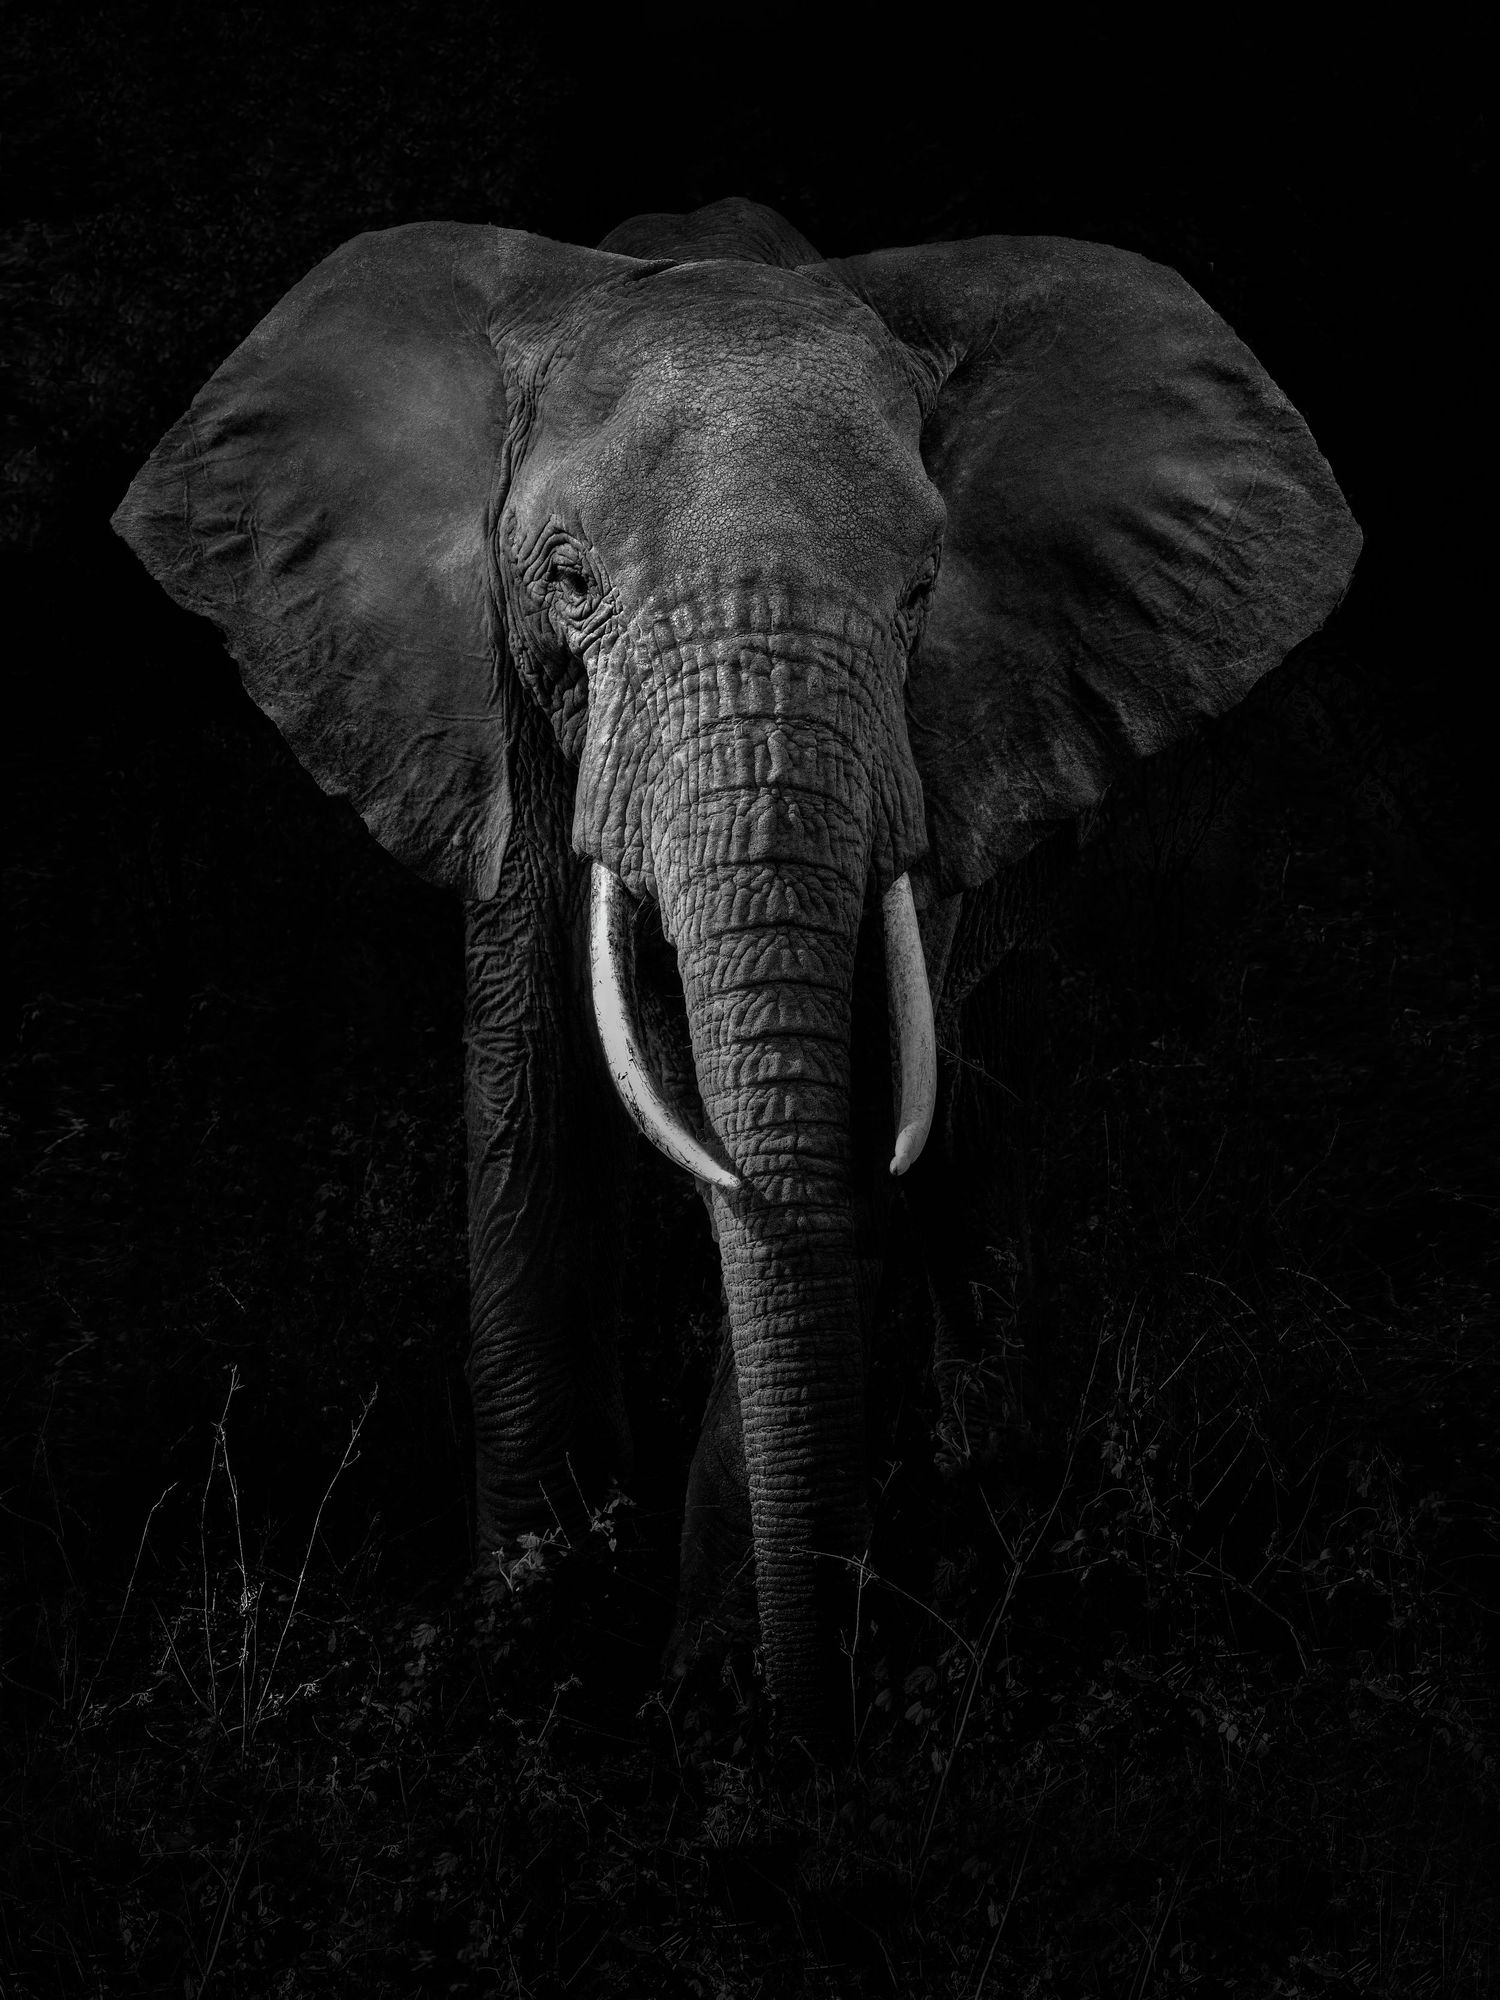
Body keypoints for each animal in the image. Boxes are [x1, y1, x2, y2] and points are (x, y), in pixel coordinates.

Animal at [112, 195, 1360, 1745]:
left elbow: (866, 1099)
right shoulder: (490, 708)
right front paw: (530, 1643)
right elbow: (528, 1086)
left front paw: (713, 1699)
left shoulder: (940, 740)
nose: (816, 1719)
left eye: (924, 593)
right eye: (567, 581)